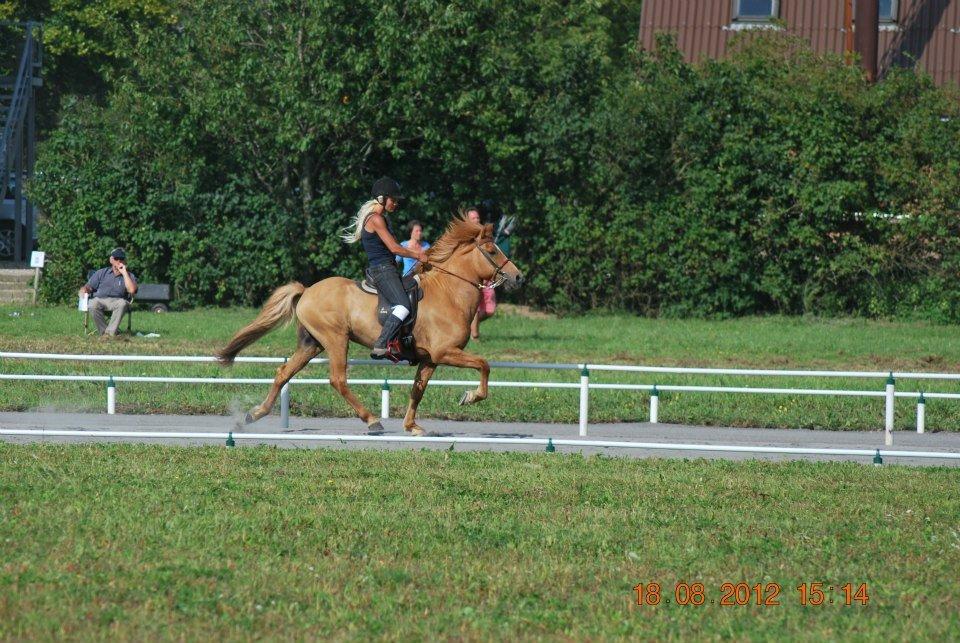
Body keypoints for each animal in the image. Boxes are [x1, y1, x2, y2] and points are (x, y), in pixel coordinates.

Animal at [214, 218, 520, 438]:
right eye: (492, 250)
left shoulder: (430, 359)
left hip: (312, 343)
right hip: (336, 339)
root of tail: (307, 290)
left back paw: (253, 415)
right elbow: (484, 365)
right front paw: (470, 397)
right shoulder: (446, 352)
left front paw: (412, 426)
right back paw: (372, 420)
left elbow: (417, 390)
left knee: (283, 373)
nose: (518, 277)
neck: (449, 293)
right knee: (338, 379)